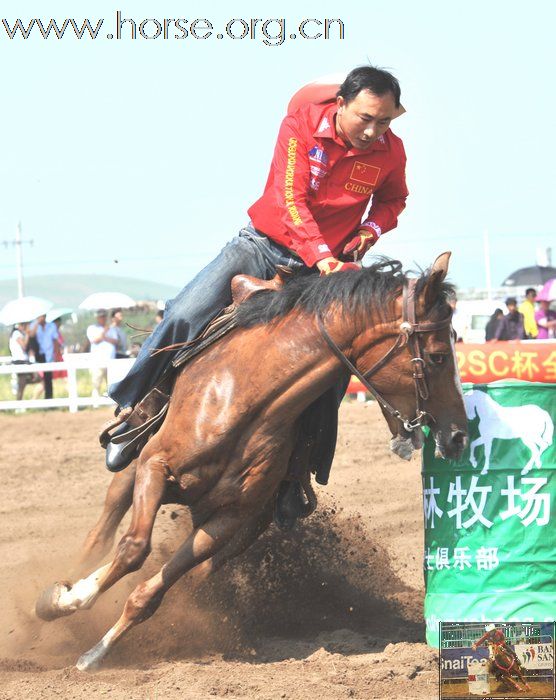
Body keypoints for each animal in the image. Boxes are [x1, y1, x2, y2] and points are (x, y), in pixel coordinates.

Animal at [35, 250, 470, 668]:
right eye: (437, 357)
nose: (459, 436)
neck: (246, 394)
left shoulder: (231, 518)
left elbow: (153, 590)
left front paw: (97, 650)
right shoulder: (156, 466)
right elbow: (133, 547)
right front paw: (69, 601)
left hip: (243, 527)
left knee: (197, 573)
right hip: (133, 461)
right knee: (104, 529)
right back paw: (58, 592)